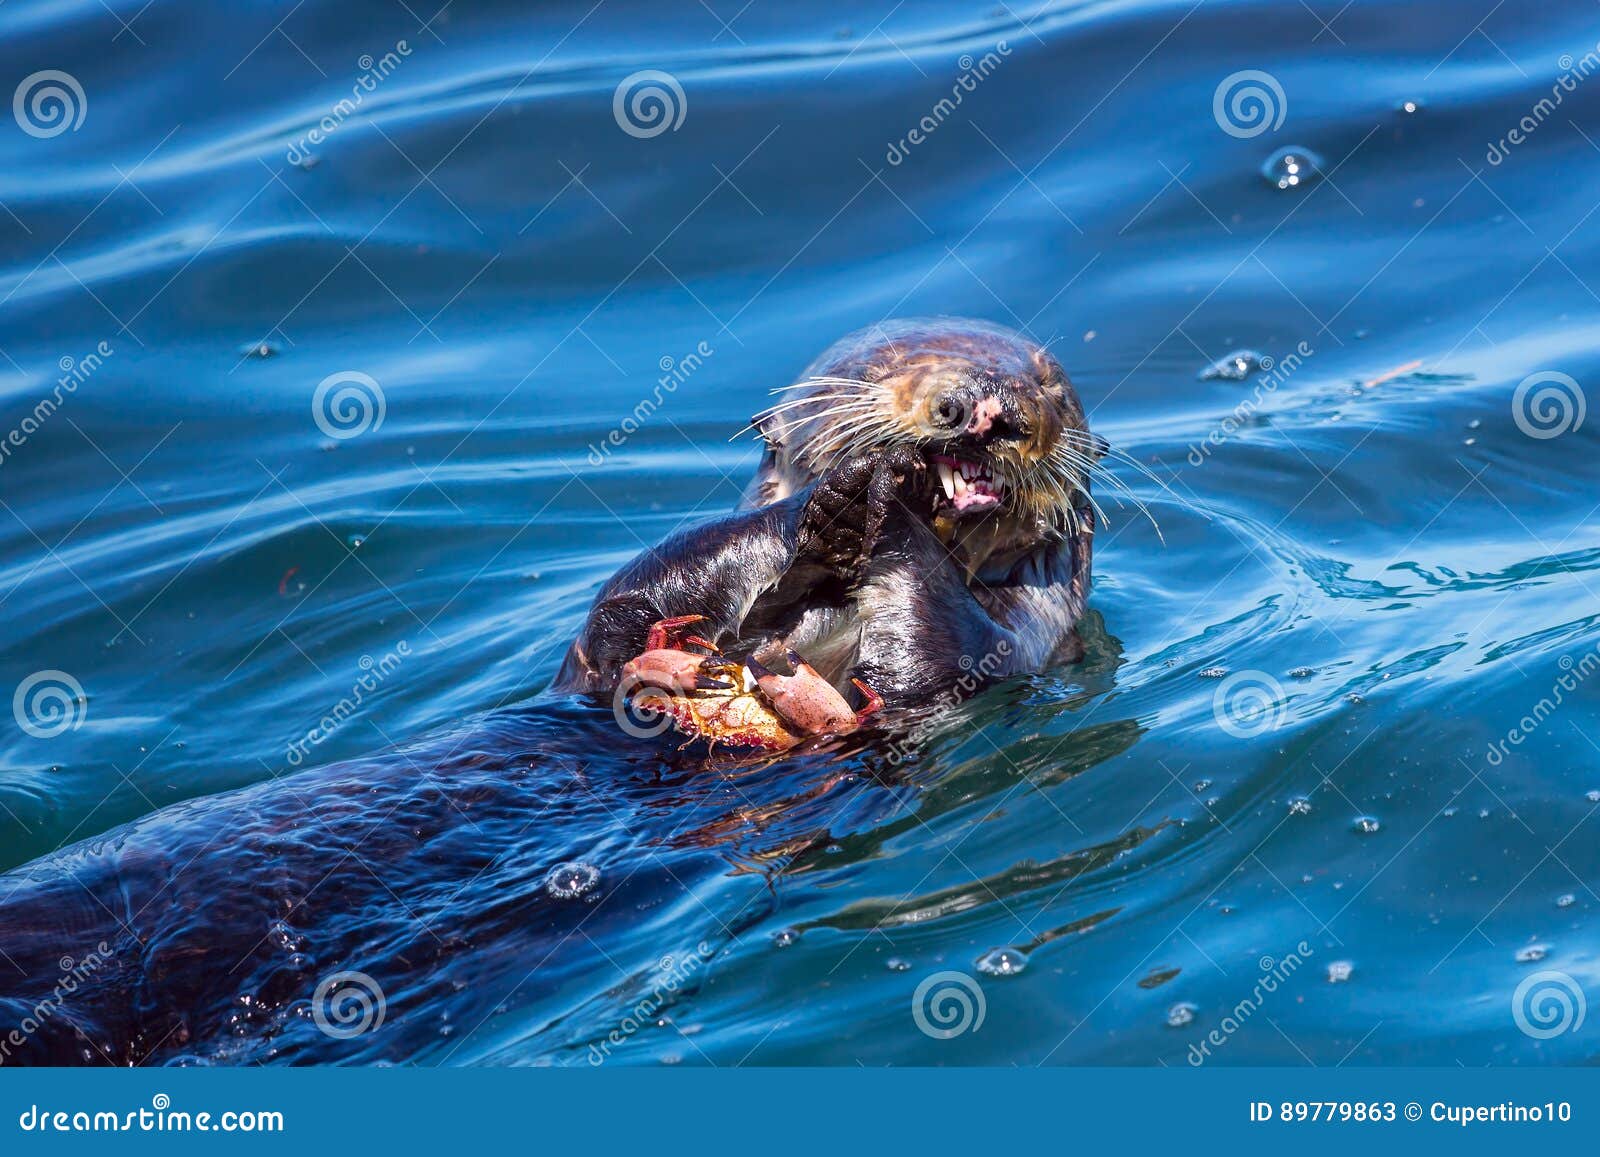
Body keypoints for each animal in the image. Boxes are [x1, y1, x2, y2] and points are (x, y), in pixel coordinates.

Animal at [556, 316, 1101, 711]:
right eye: (881, 367)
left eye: (1048, 384)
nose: (984, 403)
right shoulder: (594, 661)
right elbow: (623, 610)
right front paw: (847, 497)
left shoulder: (1034, 637)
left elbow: (951, 660)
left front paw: (895, 501)